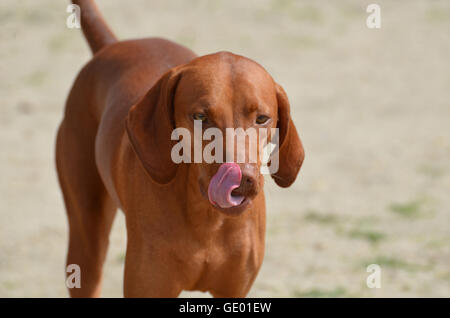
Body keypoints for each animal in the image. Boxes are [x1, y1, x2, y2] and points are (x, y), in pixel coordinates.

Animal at [55, 0, 302, 298]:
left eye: (262, 118)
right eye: (200, 117)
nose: (241, 179)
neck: (208, 219)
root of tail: (112, 45)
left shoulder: (234, 291)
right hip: (86, 247)